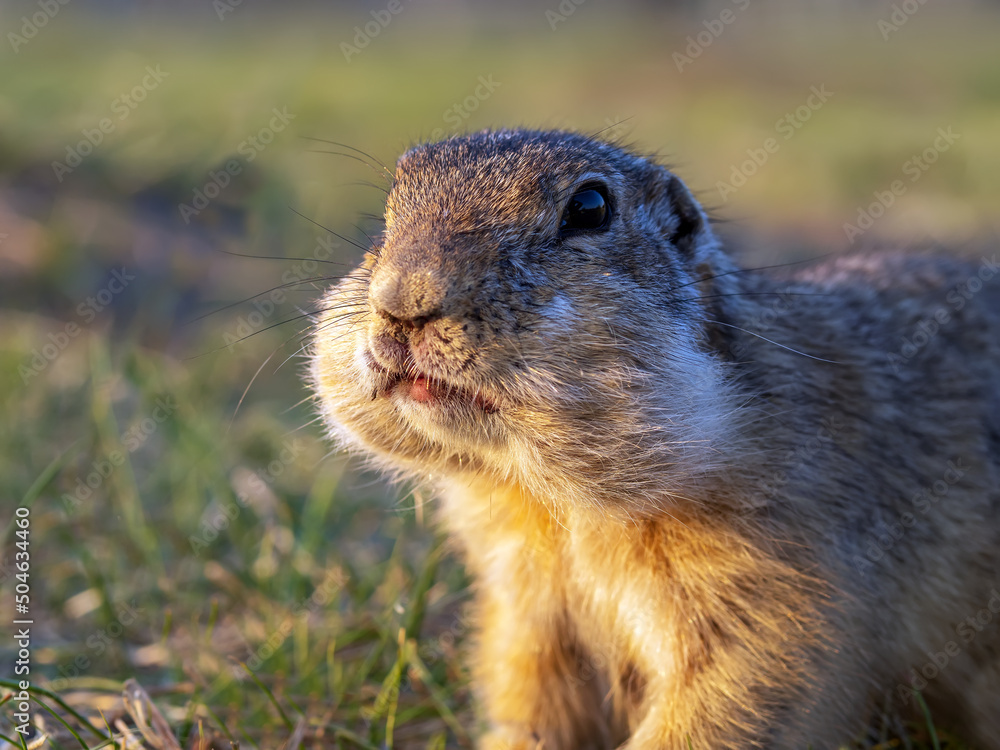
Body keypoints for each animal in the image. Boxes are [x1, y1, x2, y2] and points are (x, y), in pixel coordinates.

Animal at [308, 131, 996, 750]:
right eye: (388, 213)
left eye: (590, 208)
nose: (401, 300)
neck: (556, 501)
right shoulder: (523, 603)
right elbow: (527, 695)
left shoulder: (784, 568)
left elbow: (751, 681)